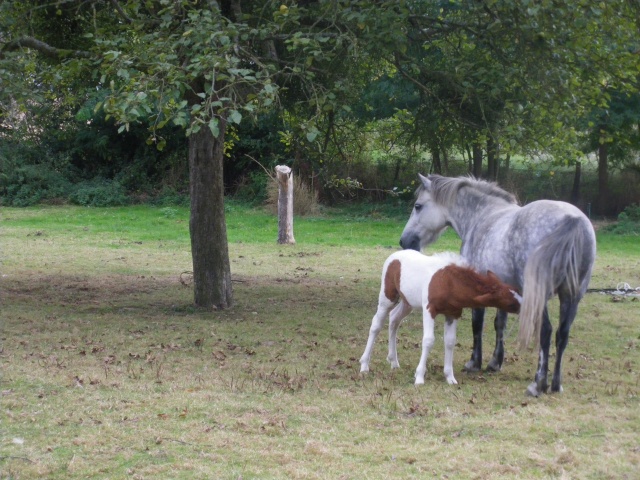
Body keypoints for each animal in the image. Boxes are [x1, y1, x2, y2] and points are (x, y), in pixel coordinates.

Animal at [358, 249, 524, 384]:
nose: (525, 307)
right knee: (376, 324)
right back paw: (364, 365)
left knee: (394, 319)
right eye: (510, 302)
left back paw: (393, 361)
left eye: (516, 290)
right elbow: (428, 340)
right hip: (388, 297)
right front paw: (419, 377)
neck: (450, 283)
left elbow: (450, 342)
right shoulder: (429, 309)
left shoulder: (453, 314)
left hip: (407, 302)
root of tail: (394, 256)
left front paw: (450, 378)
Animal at [398, 174, 596, 396]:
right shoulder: (505, 290)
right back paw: (555, 384)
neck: (481, 216)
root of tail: (572, 219)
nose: (405, 241)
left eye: (418, 206)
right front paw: (495, 362)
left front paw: (474, 363)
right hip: (572, 296)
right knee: (562, 334)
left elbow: (477, 324)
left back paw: (538, 383)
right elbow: (499, 324)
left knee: (545, 331)